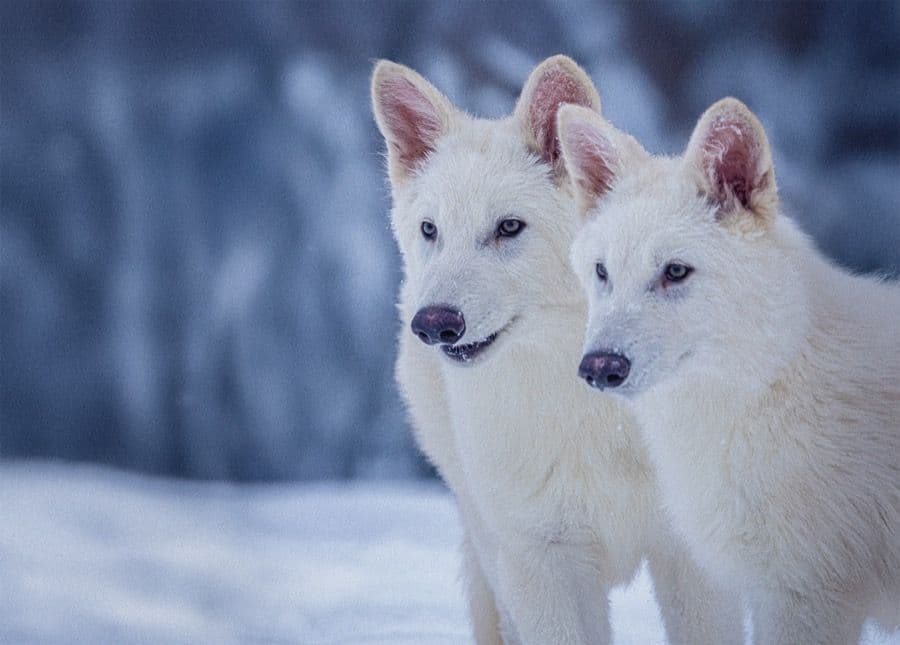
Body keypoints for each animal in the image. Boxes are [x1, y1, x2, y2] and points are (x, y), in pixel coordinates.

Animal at [371, 56, 742, 644]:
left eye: (508, 227)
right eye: (431, 229)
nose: (433, 325)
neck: (589, 411)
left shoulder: (692, 561)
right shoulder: (539, 565)